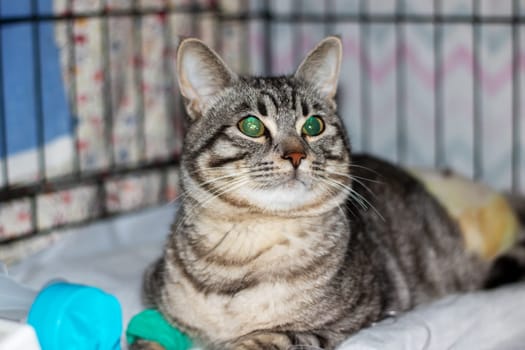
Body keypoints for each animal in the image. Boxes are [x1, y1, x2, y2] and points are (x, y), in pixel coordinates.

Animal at [134, 37, 524, 348]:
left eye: (313, 125)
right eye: (252, 126)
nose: (295, 155)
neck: (247, 244)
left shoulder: (346, 319)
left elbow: (263, 338)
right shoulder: (157, 302)